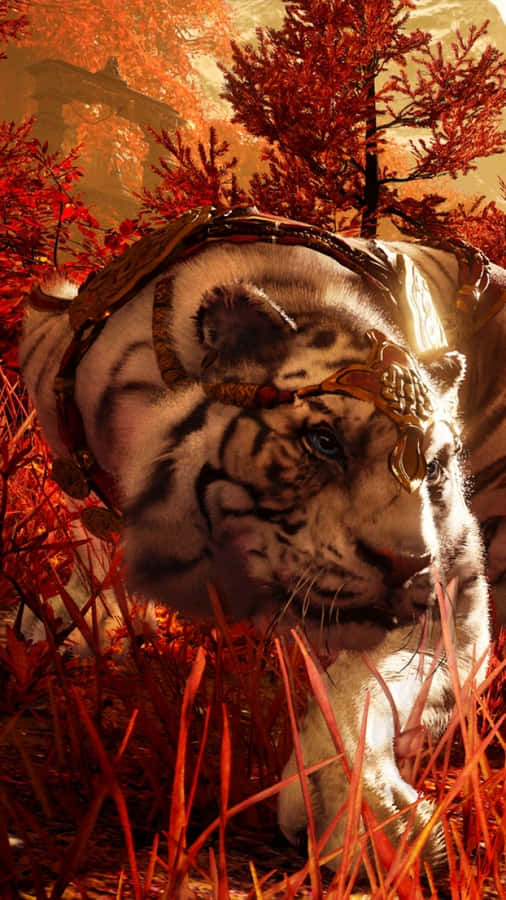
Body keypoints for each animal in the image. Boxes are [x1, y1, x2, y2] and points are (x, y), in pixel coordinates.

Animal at [19, 206, 505, 873]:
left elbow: (357, 687)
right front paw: (72, 626)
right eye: (323, 442)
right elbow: (90, 532)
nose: (407, 563)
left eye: (431, 467)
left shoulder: (458, 606)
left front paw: (367, 822)